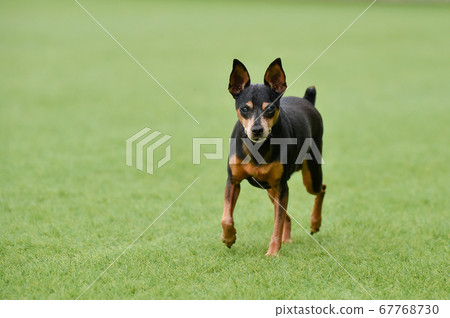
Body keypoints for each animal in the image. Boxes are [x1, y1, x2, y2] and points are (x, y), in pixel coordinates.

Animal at [221, 57, 326, 256]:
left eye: (269, 108)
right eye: (244, 108)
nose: (256, 130)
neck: (257, 148)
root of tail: (307, 100)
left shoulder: (282, 186)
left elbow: (277, 223)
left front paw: (273, 253)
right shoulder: (233, 181)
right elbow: (226, 217)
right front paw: (229, 237)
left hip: (310, 176)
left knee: (321, 189)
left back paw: (315, 223)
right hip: (270, 189)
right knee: (287, 216)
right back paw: (288, 239)